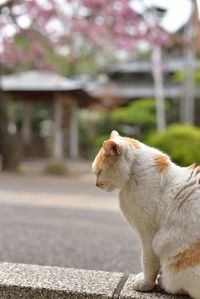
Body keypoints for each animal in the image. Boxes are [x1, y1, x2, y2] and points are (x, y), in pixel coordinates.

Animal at [92, 131, 200, 299]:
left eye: (99, 172)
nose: (96, 184)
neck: (134, 173)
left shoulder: (148, 235)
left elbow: (148, 262)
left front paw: (146, 283)